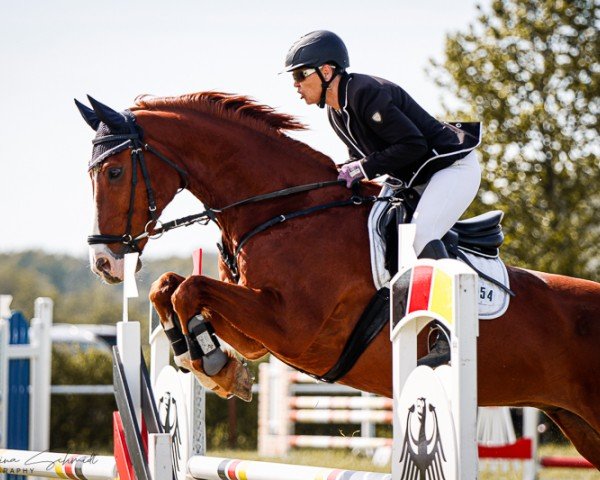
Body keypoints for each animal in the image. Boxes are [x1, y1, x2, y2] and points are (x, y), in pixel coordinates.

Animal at [77, 92, 600, 466]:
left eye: (116, 171)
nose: (104, 263)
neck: (285, 210)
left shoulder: (294, 329)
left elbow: (190, 287)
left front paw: (210, 362)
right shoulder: (258, 334)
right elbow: (170, 286)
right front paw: (212, 362)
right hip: (580, 424)